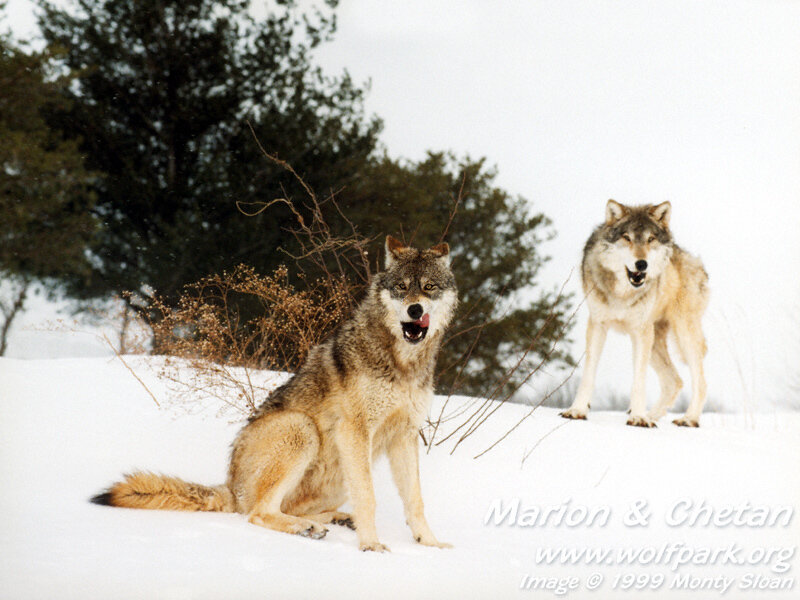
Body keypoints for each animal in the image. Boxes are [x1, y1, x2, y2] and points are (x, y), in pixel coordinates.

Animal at [93, 236, 457, 552]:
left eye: (429, 287)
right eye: (401, 287)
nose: (414, 309)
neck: (403, 362)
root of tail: (230, 488)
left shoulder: (405, 435)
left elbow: (415, 500)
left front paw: (431, 544)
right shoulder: (355, 430)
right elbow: (368, 497)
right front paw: (370, 546)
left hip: (337, 476)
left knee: (285, 508)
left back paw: (334, 520)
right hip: (301, 429)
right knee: (258, 513)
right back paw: (308, 527)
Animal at [560, 200, 709, 427]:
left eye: (650, 239)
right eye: (627, 238)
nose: (641, 264)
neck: (623, 293)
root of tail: (695, 261)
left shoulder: (640, 332)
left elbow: (639, 380)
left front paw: (638, 417)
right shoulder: (597, 325)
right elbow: (588, 375)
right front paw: (577, 410)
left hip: (683, 335)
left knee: (699, 381)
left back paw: (688, 418)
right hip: (656, 342)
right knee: (674, 381)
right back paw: (653, 415)